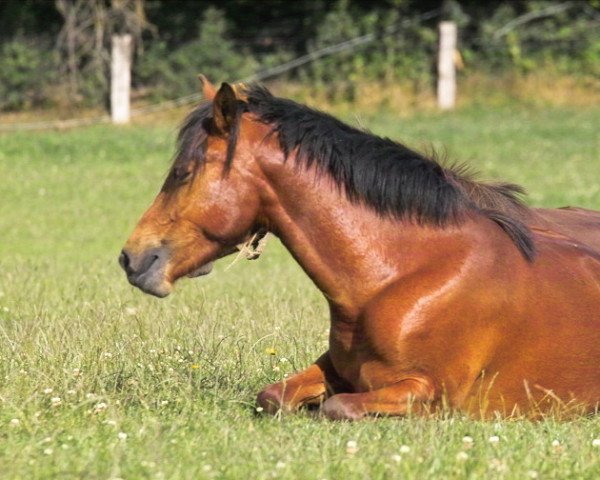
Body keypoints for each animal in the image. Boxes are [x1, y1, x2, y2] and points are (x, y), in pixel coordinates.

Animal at [120, 77, 600, 418]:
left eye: (183, 171)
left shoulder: (429, 394)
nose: (132, 258)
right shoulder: (332, 368)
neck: (401, 277)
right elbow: (272, 395)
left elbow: (338, 407)